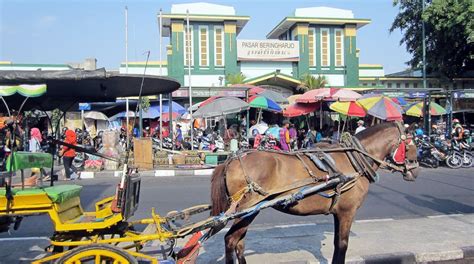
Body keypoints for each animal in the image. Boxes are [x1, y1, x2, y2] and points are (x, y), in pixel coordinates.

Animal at [209, 121, 420, 264]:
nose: (416, 171)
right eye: (411, 145)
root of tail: (231, 160)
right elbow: (342, 244)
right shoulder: (347, 212)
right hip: (247, 209)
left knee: (239, 242)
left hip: (249, 212)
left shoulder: (338, 212)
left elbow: (336, 243)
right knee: (231, 240)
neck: (354, 160)